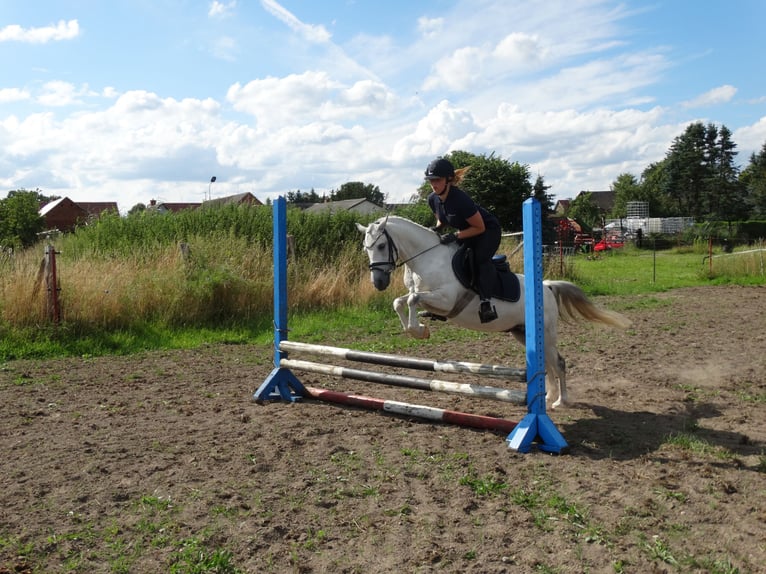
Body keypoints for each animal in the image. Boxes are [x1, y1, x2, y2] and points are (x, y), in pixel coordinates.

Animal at [356, 216, 632, 410]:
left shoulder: (446, 299)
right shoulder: (427, 298)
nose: (378, 282)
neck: (425, 260)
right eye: (365, 248)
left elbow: (413, 299)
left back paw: (560, 401)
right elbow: (399, 301)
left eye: (382, 245)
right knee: (547, 363)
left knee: (559, 363)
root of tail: (547, 286)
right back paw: (548, 397)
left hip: (546, 333)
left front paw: (418, 330)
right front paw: (418, 329)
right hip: (522, 333)